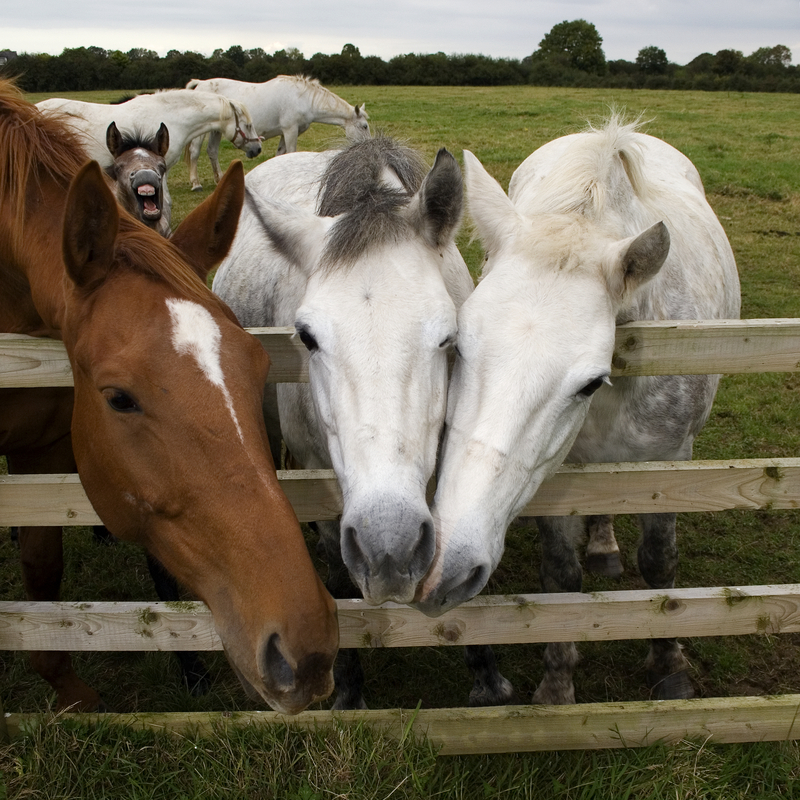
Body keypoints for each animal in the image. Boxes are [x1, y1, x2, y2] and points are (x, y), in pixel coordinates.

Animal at [0, 78, 338, 716]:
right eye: (118, 398)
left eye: (257, 366)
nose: (305, 652)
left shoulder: (41, 448)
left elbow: (42, 564)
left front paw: (68, 690)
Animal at [184, 76, 368, 192]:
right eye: (364, 126)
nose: (365, 148)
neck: (302, 98)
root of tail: (200, 84)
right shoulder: (290, 130)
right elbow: (292, 153)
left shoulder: (286, 133)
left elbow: (281, 154)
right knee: (195, 152)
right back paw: (196, 184)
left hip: (216, 130)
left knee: (212, 151)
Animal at [416, 114, 740, 708]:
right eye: (460, 346)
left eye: (590, 382)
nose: (444, 569)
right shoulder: (555, 481)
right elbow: (561, 577)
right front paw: (557, 682)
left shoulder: (668, 465)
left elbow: (659, 564)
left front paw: (670, 667)